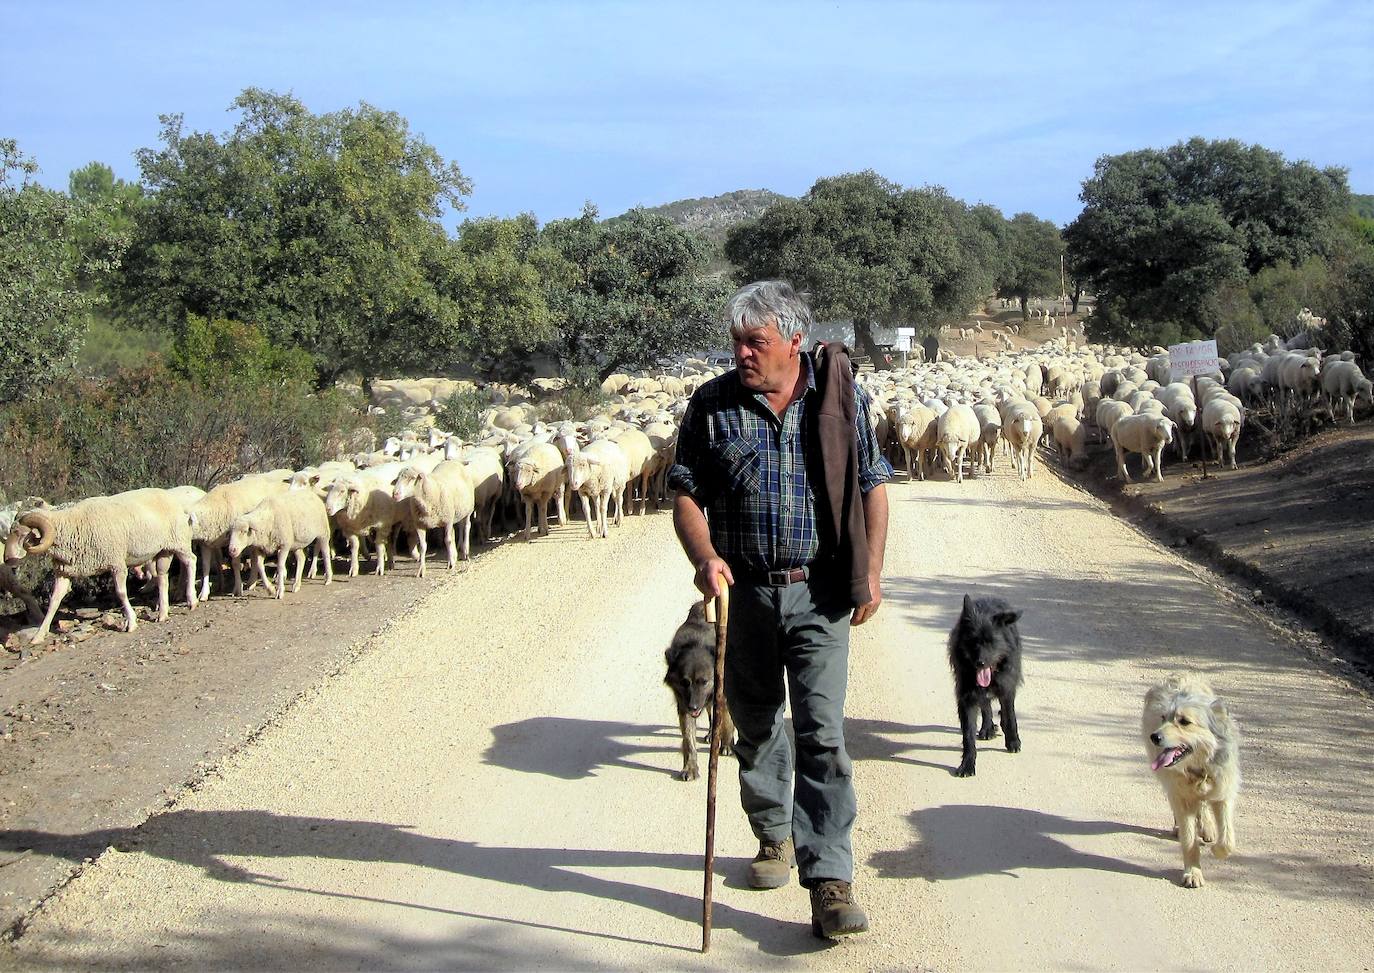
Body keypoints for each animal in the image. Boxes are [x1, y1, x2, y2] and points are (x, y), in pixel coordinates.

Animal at [4, 489, 199, 643]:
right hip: (164, 550)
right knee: (162, 577)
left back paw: (192, 600)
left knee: (191, 561)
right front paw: (39, 635)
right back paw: (163, 613)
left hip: (179, 542)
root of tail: (171, 498)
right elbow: (54, 602)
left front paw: (131, 622)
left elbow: (121, 593)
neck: (72, 526)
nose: (6, 559)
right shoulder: (64, 572)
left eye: (20, 533)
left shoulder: (117, 563)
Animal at [662, 599, 736, 780]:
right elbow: (689, 740)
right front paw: (690, 767)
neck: (697, 644)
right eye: (684, 682)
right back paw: (710, 733)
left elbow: (727, 721)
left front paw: (727, 744)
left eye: (704, 682)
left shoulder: (722, 696)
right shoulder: (683, 705)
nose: (693, 707)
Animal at [950, 593, 1027, 775]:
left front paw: (1013, 741)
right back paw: (987, 728)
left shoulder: (1007, 688)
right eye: (973, 642)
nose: (981, 663)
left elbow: (1010, 715)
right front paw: (967, 764)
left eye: (991, 642)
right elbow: (968, 735)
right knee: (985, 706)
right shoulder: (966, 697)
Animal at [1143, 676, 1242, 890]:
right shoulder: (1182, 797)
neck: (1200, 768)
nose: (1154, 736)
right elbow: (1189, 840)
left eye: (1184, 722)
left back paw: (1208, 828)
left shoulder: (1223, 793)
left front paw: (1217, 850)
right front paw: (1193, 873)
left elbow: (1228, 839)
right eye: (1163, 718)